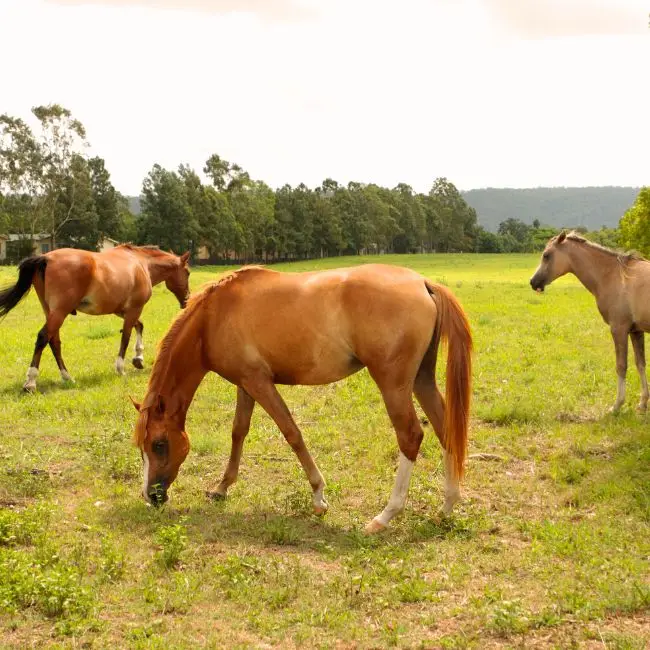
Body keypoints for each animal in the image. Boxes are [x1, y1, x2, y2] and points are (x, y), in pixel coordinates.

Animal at [0, 244, 190, 392]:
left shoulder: (122, 311)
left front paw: (138, 358)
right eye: (187, 272)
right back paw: (31, 382)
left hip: (51, 312)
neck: (141, 263)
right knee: (43, 338)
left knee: (54, 342)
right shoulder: (134, 309)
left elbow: (139, 326)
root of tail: (45, 258)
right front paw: (121, 368)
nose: (187, 300)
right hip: (59, 313)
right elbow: (126, 336)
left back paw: (67, 377)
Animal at [131, 263, 472, 533]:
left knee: (411, 436)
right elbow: (238, 432)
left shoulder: (260, 383)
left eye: (159, 444)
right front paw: (222, 487)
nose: (152, 496)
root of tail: (423, 283)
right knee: (445, 429)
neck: (214, 317)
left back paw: (385, 516)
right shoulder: (245, 384)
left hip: (394, 385)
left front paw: (319, 496)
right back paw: (447, 507)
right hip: (421, 379)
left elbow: (291, 432)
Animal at [530, 230, 650, 413]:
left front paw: (617, 405)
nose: (533, 282)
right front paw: (643, 403)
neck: (614, 276)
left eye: (546, 255)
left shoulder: (619, 329)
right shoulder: (636, 331)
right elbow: (640, 364)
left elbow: (621, 366)